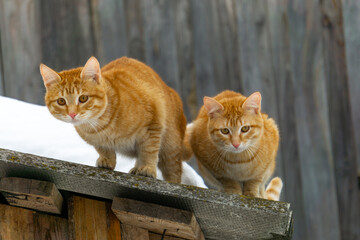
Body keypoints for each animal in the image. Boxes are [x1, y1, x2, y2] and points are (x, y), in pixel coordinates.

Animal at [40, 56, 186, 183]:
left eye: (83, 98)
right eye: (61, 101)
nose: (72, 114)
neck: (100, 125)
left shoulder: (152, 125)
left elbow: (148, 151)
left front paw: (147, 168)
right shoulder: (96, 141)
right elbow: (103, 148)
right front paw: (107, 160)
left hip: (171, 148)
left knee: (173, 173)